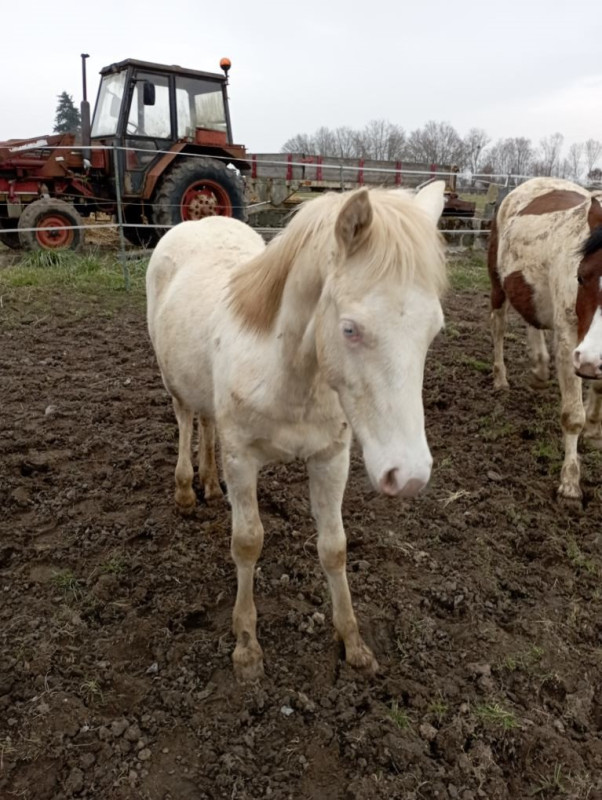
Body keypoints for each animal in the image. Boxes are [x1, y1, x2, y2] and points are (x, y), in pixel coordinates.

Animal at [146, 182, 447, 681]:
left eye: (434, 330)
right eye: (350, 329)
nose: (409, 476)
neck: (287, 372)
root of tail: (198, 222)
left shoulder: (331, 458)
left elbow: (334, 547)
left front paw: (353, 643)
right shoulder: (242, 458)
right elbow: (247, 542)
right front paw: (247, 647)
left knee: (207, 422)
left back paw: (210, 484)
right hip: (174, 383)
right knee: (187, 419)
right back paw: (188, 490)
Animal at [488, 176, 602, 499]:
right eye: (581, 277)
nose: (588, 362)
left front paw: (594, 429)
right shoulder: (570, 342)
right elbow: (572, 415)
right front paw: (570, 482)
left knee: (533, 319)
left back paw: (539, 369)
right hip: (498, 286)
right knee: (499, 328)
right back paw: (501, 378)